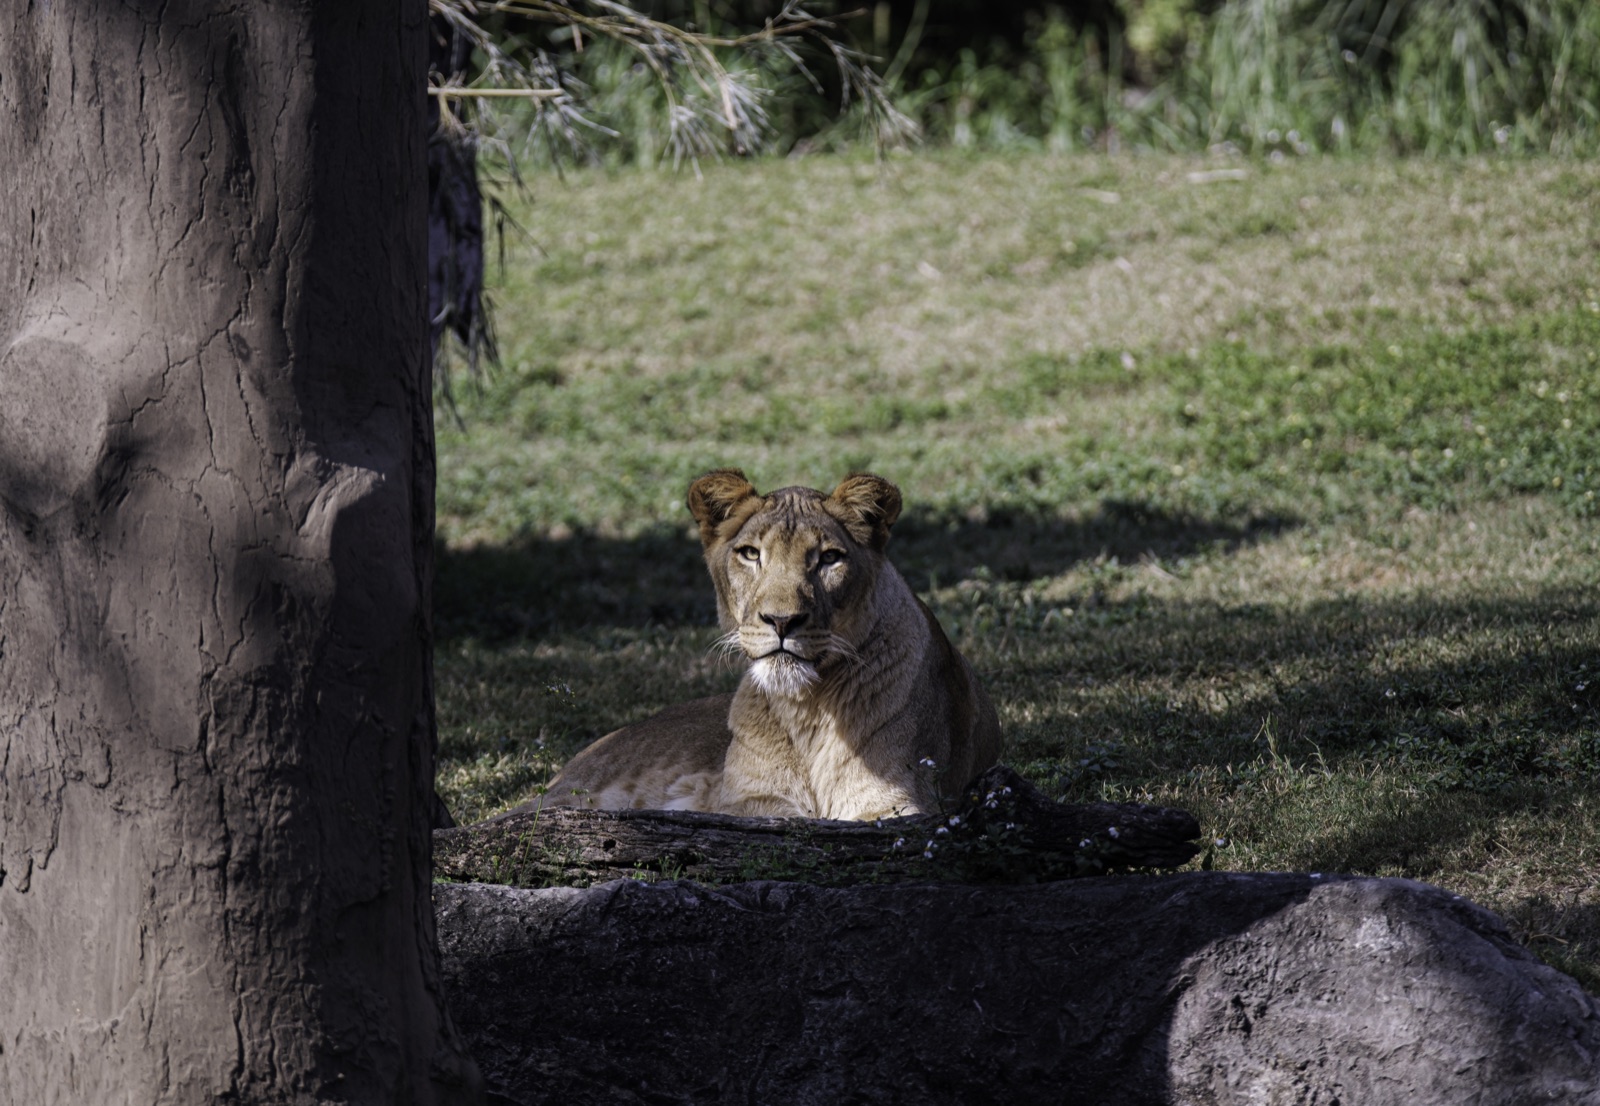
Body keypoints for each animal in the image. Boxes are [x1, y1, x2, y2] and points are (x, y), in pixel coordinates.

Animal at [517, 469, 1002, 821]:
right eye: (751, 554)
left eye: (829, 558)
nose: (781, 621)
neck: (806, 710)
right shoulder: (749, 803)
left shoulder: (893, 800)